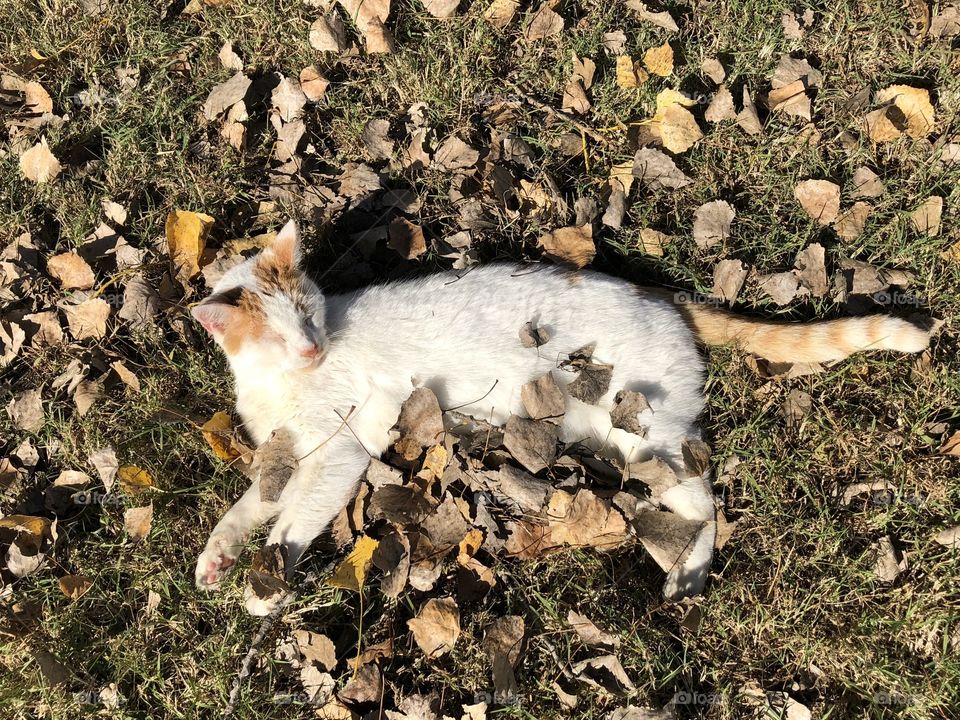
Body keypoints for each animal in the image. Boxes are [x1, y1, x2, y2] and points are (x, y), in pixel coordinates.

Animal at [191, 219, 932, 612]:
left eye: (308, 315)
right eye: (279, 334)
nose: (312, 346)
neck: (281, 384)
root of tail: (661, 293)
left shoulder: (342, 443)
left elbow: (295, 514)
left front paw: (264, 582)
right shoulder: (288, 449)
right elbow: (252, 504)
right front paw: (219, 558)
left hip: (646, 436)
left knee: (708, 504)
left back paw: (687, 576)